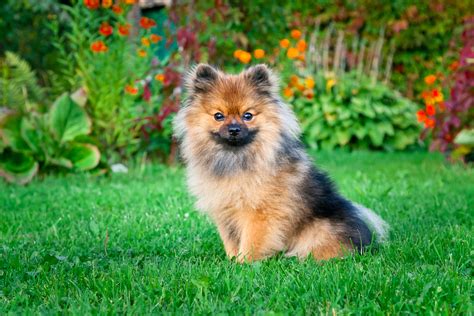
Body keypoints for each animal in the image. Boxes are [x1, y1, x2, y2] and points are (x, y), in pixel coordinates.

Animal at [174, 63, 388, 262]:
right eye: (218, 116)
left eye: (247, 116)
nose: (234, 129)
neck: (235, 158)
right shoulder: (224, 211)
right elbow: (231, 243)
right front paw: (233, 260)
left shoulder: (260, 213)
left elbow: (251, 242)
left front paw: (243, 265)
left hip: (319, 230)